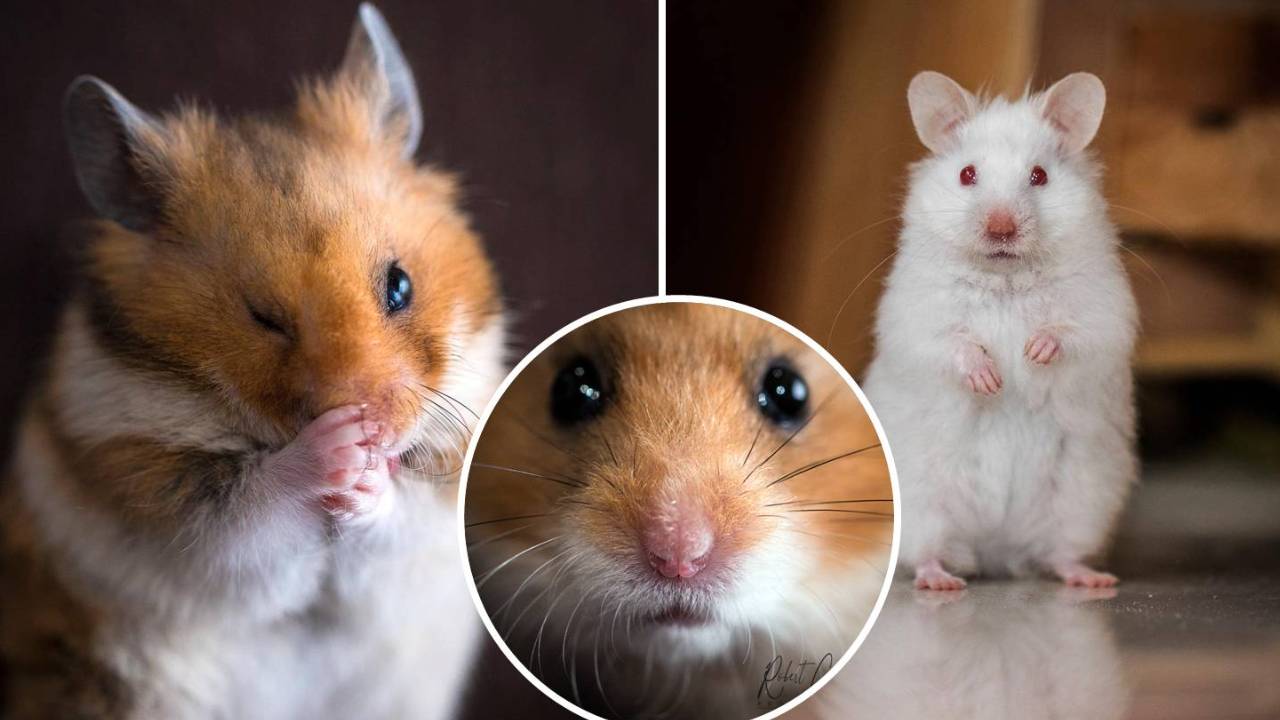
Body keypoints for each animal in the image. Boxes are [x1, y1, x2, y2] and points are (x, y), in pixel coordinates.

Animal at [0, 5, 505, 718]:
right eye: (264, 318)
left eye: (400, 286)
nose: (370, 424)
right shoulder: (165, 508)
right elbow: (250, 513)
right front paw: (340, 448)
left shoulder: (442, 497)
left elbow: (399, 512)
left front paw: (366, 468)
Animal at [863, 71, 1138, 591]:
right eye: (967, 174)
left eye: (1039, 176)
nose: (1001, 228)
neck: (1005, 276)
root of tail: (995, 546)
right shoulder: (915, 317)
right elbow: (950, 343)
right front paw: (991, 380)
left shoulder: (1104, 314)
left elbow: (1072, 333)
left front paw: (1034, 351)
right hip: (924, 500)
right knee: (927, 552)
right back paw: (941, 583)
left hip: (1082, 499)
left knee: (1060, 554)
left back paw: (1093, 581)